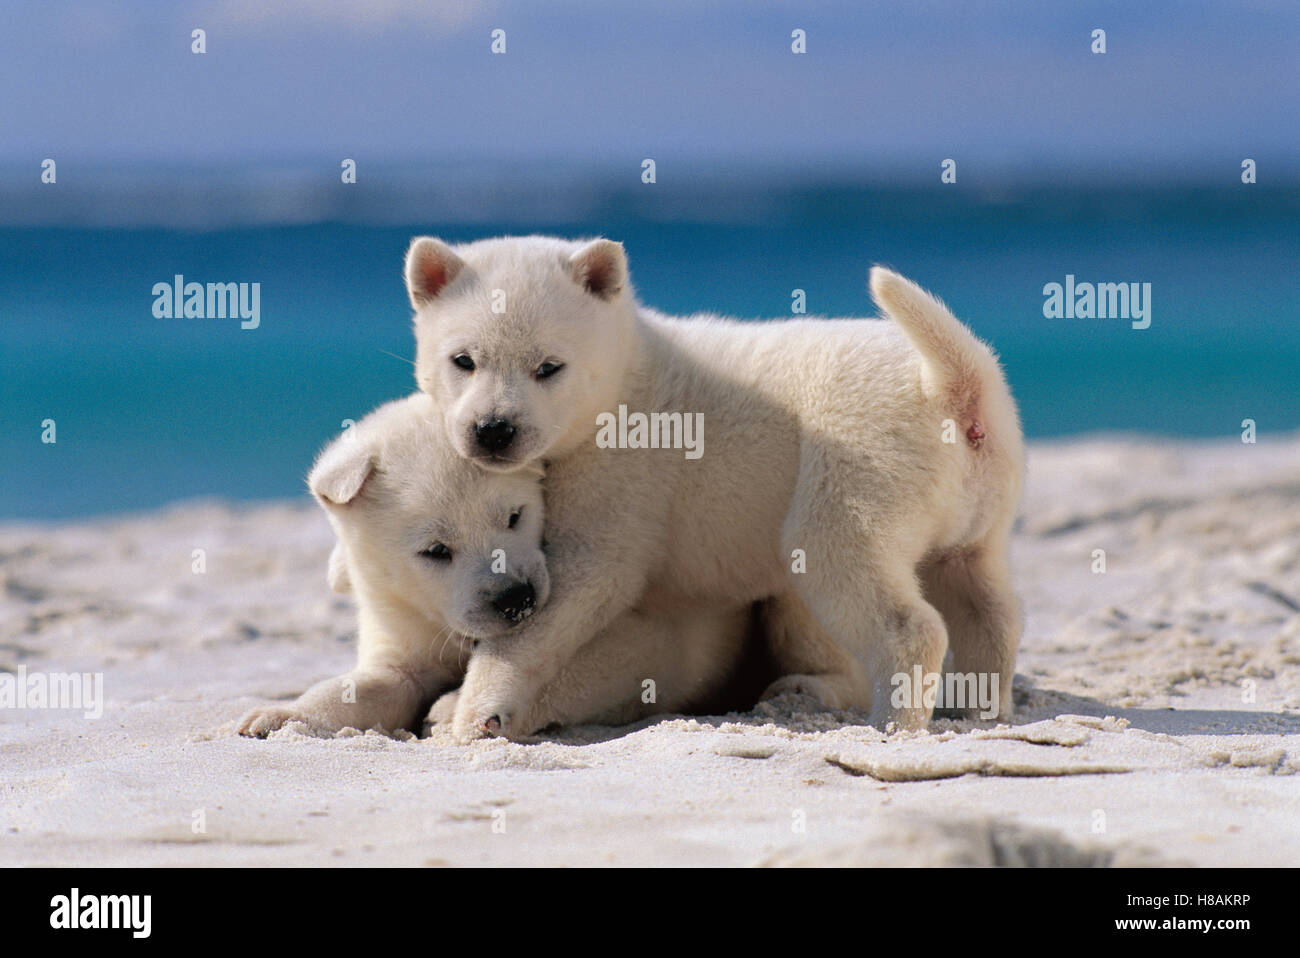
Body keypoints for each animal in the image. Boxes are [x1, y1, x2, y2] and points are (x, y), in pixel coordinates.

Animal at [239, 392, 759, 738]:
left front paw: (455, 707)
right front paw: (282, 716)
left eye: (514, 516)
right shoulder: (398, 621)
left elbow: (583, 666)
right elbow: (365, 686)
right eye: (435, 551)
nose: (516, 599)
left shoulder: (660, 630)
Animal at [405, 235, 1024, 738]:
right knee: (986, 603)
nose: (493, 431)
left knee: (895, 612)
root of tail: (952, 389)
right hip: (981, 508)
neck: (625, 380)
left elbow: (568, 599)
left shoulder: (616, 495)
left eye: (549, 367)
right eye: (463, 360)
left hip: (858, 476)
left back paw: (890, 724)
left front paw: (476, 711)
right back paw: (980, 707)